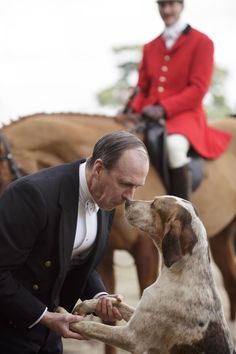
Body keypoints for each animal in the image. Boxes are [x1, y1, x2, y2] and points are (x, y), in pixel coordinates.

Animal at [65, 196, 236, 354]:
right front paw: (87, 304)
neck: (182, 274)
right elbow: (118, 304)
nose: (127, 201)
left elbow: (89, 325)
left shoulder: (131, 337)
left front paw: (62, 316)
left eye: (155, 205)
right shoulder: (139, 315)